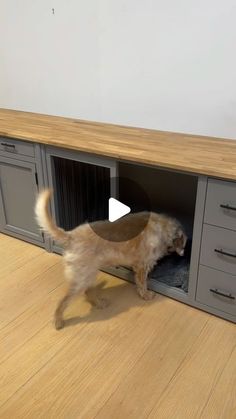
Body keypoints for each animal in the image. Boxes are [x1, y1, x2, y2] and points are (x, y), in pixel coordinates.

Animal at [35, 189, 187, 330]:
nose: (184, 254)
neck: (162, 227)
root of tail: (71, 236)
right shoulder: (142, 266)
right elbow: (142, 284)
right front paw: (146, 295)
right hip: (82, 278)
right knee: (63, 302)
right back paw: (58, 321)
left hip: (89, 274)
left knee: (88, 292)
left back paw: (99, 303)